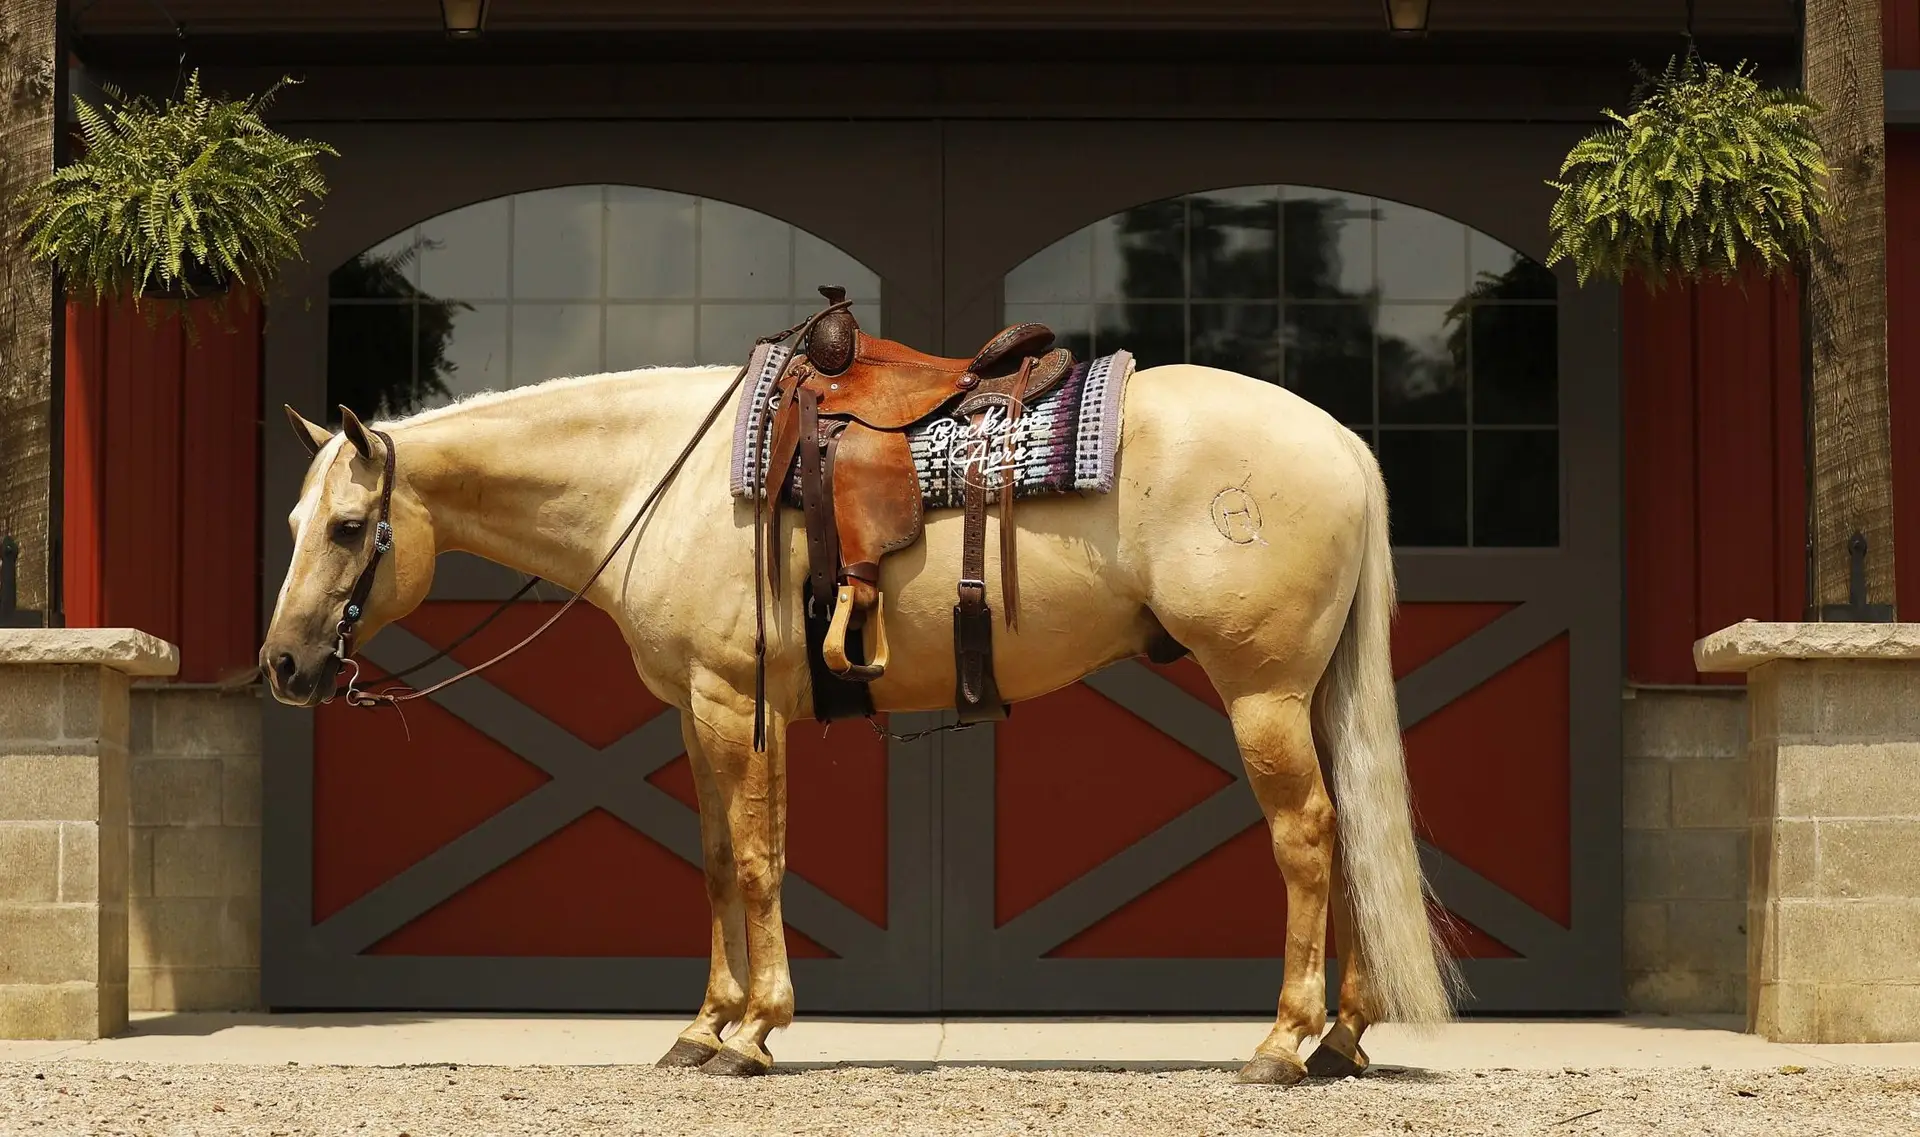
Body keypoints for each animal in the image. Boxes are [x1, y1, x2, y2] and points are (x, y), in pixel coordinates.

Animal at [262, 352, 1461, 1083]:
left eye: (351, 526)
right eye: (294, 521)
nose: (282, 664)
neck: (660, 479)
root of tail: (1339, 441)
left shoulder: (735, 700)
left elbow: (758, 859)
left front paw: (754, 1032)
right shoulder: (695, 713)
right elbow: (712, 860)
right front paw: (701, 1028)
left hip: (1261, 691)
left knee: (1307, 838)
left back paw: (1285, 1039)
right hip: (1308, 695)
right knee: (1348, 838)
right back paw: (1342, 1037)